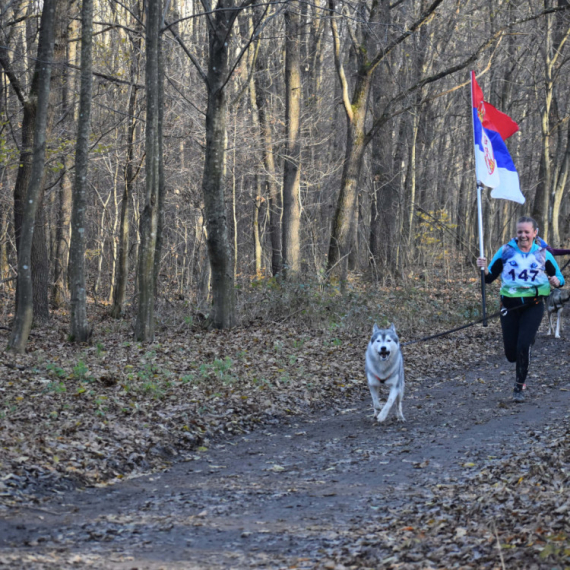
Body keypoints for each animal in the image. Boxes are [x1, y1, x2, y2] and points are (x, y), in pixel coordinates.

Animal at [474, 215, 564, 402]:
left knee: (522, 346)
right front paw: (482, 264)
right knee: (511, 350)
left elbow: (523, 349)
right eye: (513, 263)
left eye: (534, 266)